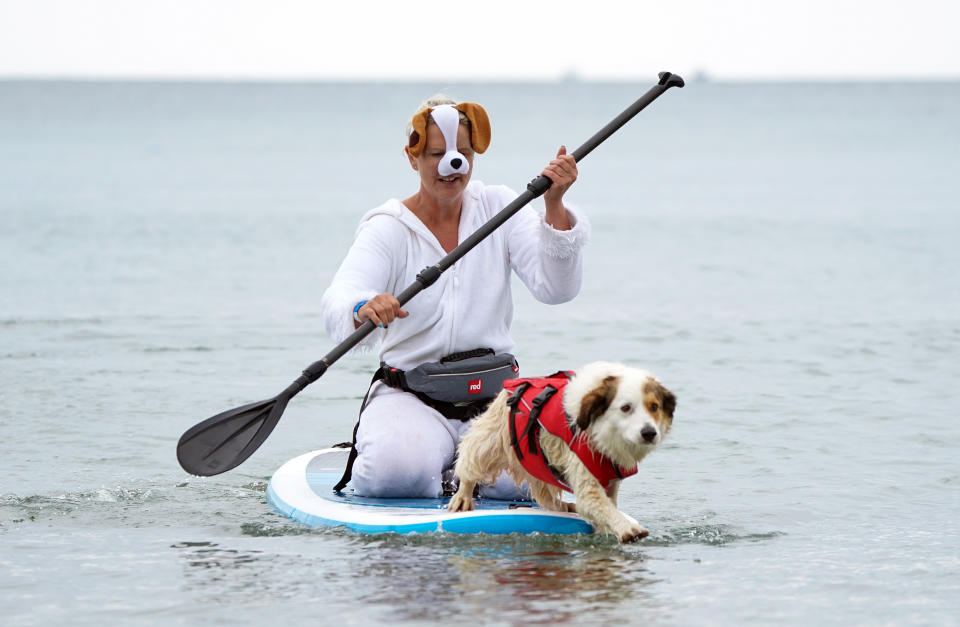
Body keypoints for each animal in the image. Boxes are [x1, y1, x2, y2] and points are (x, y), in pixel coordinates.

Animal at [448, 364, 676, 544]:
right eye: (625, 408)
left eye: (654, 406)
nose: (649, 433)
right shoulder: (585, 477)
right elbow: (600, 504)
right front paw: (628, 528)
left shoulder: (611, 479)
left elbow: (608, 505)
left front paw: (607, 529)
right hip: (490, 441)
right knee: (470, 459)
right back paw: (462, 497)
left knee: (545, 498)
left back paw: (565, 506)